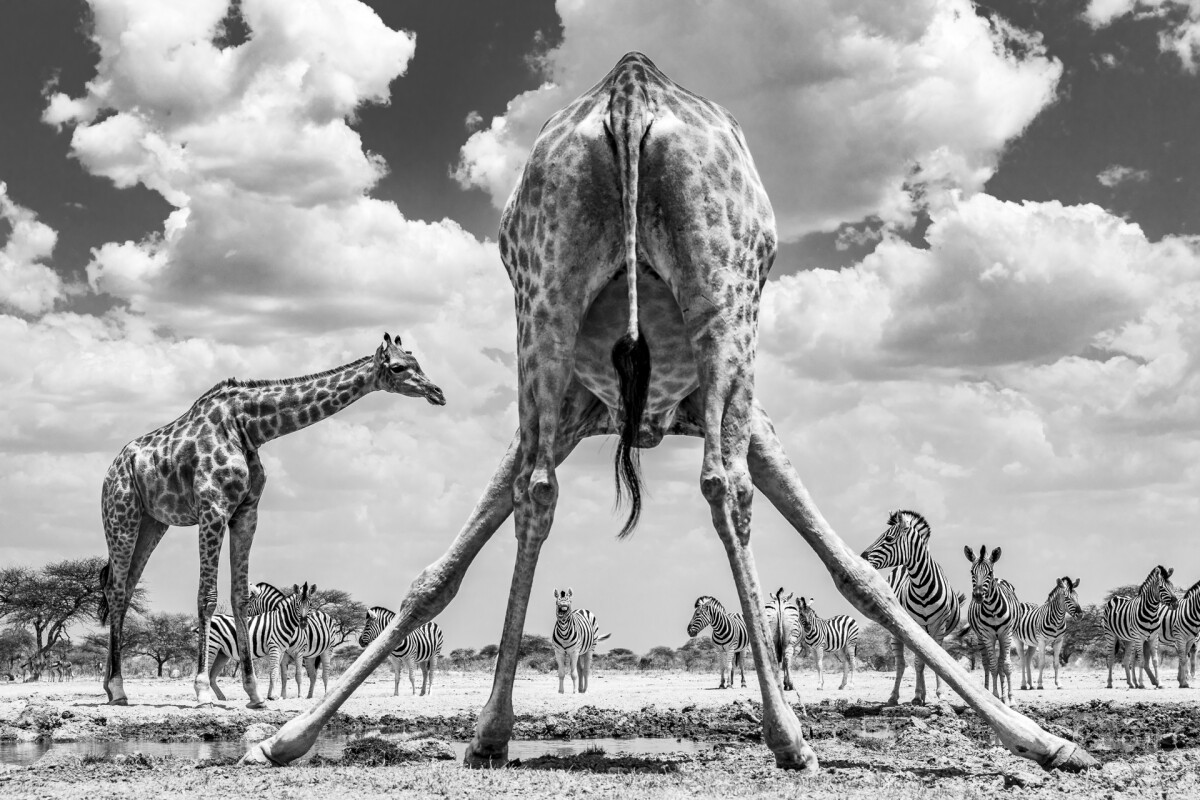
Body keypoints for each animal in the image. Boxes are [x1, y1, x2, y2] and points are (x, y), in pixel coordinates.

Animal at [97, 331, 446, 705]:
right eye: (397, 367)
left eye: (416, 361)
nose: (437, 392)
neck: (248, 428)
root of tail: (112, 468)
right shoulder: (213, 508)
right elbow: (207, 596)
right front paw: (202, 689)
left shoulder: (247, 512)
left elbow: (240, 596)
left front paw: (253, 692)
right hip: (122, 515)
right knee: (116, 590)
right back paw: (118, 688)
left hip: (153, 522)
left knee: (124, 589)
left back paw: (109, 687)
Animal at [864, 510, 964, 705]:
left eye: (888, 538)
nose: (862, 557)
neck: (922, 587)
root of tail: (902, 566)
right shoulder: (915, 626)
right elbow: (918, 663)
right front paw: (918, 696)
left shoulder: (939, 627)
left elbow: (934, 662)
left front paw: (939, 694)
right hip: (898, 630)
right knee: (901, 663)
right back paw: (895, 696)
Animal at [960, 544, 1017, 700]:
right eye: (972, 572)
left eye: (989, 572)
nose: (978, 596)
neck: (993, 610)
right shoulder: (987, 636)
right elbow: (992, 666)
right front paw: (996, 695)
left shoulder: (1006, 635)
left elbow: (1006, 666)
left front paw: (1010, 698)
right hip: (980, 638)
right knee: (986, 664)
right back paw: (988, 691)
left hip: (1002, 638)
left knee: (1001, 663)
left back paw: (1005, 697)